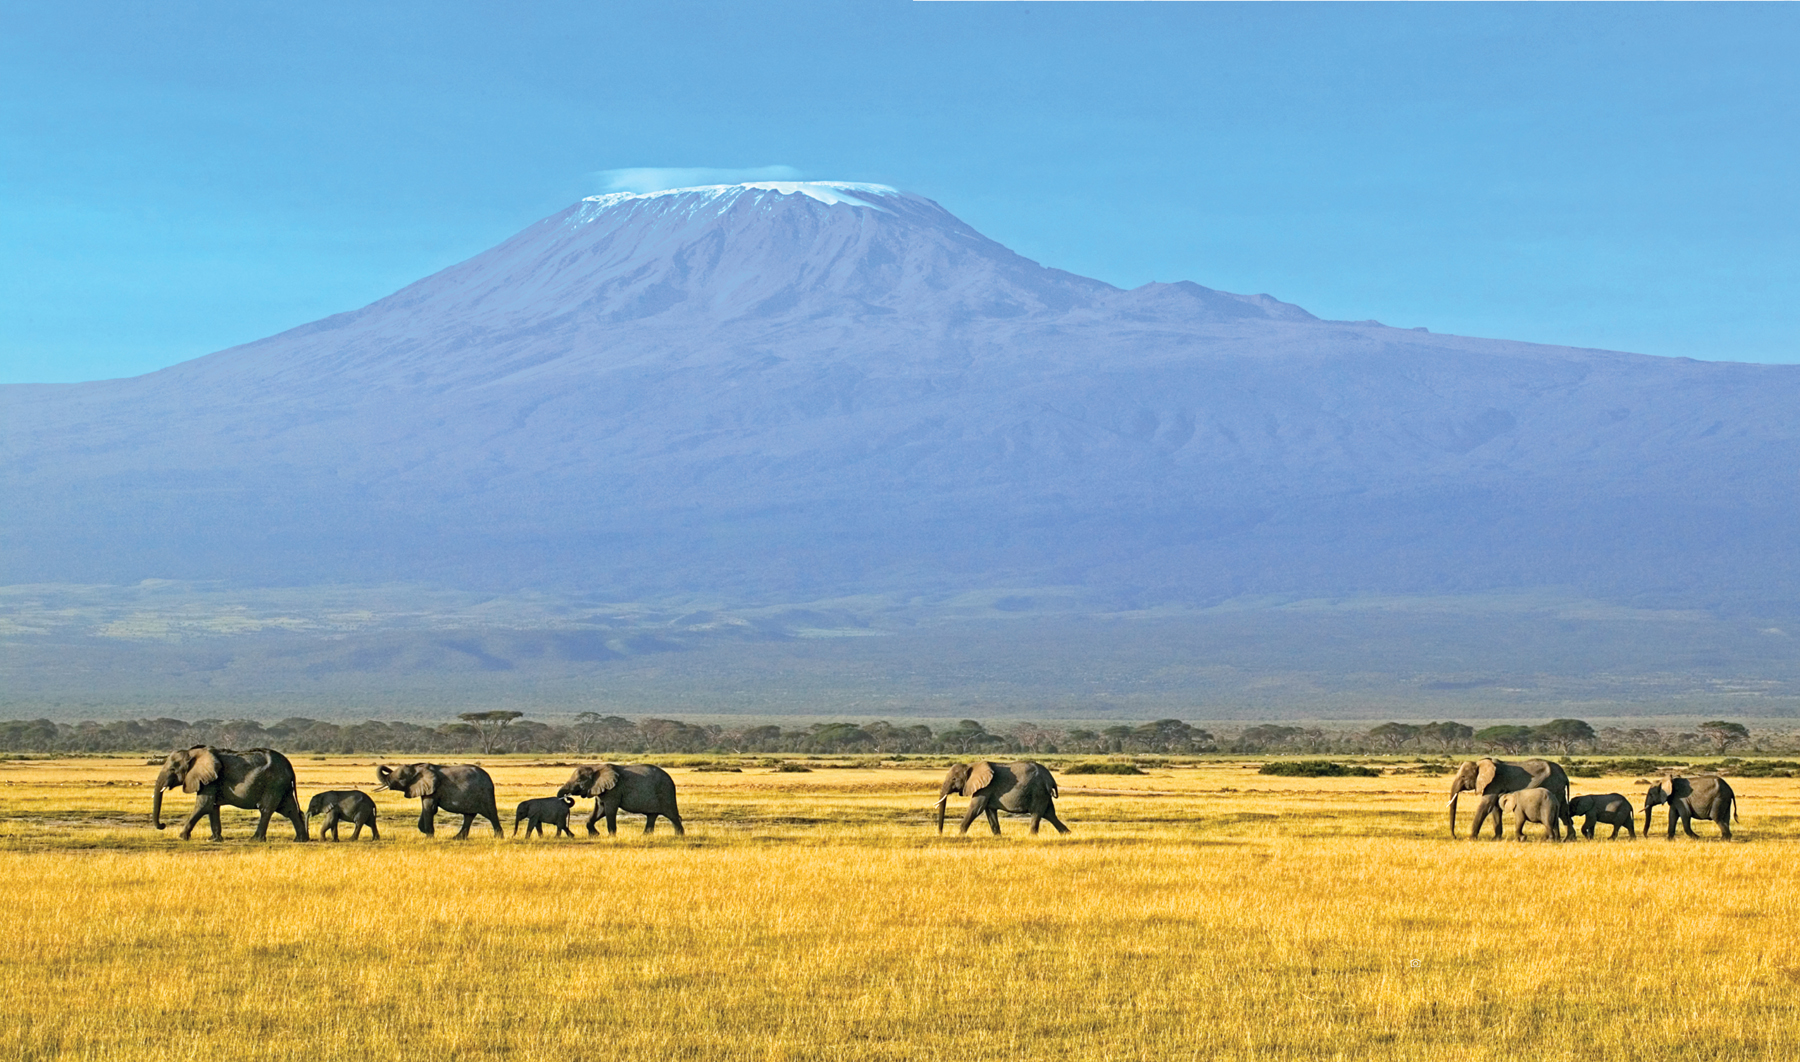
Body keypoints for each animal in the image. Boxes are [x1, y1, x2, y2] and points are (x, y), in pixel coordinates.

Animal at [151, 745, 309, 846]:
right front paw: (214, 840)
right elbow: (212, 807)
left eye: (172, 769)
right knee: (290, 810)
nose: (162, 825)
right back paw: (300, 840)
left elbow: (203, 806)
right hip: (282, 786)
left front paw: (181, 837)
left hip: (274, 783)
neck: (193, 752)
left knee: (266, 809)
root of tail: (290, 767)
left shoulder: (211, 780)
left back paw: (255, 840)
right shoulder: (210, 780)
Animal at [372, 766, 500, 842]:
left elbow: (429, 808)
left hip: (485, 793)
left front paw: (429, 837)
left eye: (400, 778)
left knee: (491, 814)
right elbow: (427, 808)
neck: (418, 767)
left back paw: (498, 837)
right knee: (469, 816)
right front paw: (425, 831)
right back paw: (457, 838)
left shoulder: (433, 789)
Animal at [1440, 763, 1569, 846]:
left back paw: (1553, 840)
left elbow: (1486, 805)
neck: (1480, 763)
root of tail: (1565, 776)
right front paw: (1495, 839)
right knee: (1562, 812)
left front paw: (1471, 839)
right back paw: (1565, 839)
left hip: (1554, 786)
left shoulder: (1494, 782)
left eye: (1463, 777)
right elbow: (1495, 808)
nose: (1455, 837)